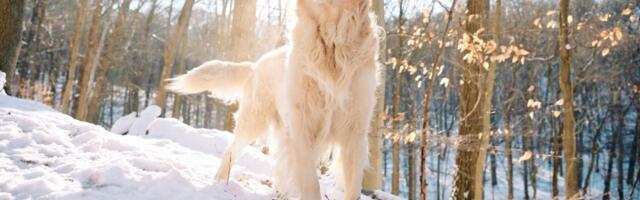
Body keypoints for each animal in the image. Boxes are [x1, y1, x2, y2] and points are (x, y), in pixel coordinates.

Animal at [170, 0, 380, 199]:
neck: (332, 43)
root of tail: (255, 65)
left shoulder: (355, 131)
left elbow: (353, 188)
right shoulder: (301, 126)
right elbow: (310, 182)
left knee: (279, 165)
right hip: (254, 121)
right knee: (231, 151)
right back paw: (220, 182)